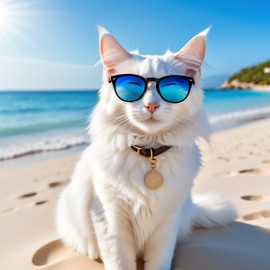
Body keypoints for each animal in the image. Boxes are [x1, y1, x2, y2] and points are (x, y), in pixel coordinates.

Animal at [56, 25, 235, 270]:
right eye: (132, 86)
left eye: (171, 87)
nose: (152, 105)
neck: (149, 153)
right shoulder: (109, 216)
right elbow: (119, 262)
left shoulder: (168, 220)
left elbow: (159, 261)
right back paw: (94, 253)